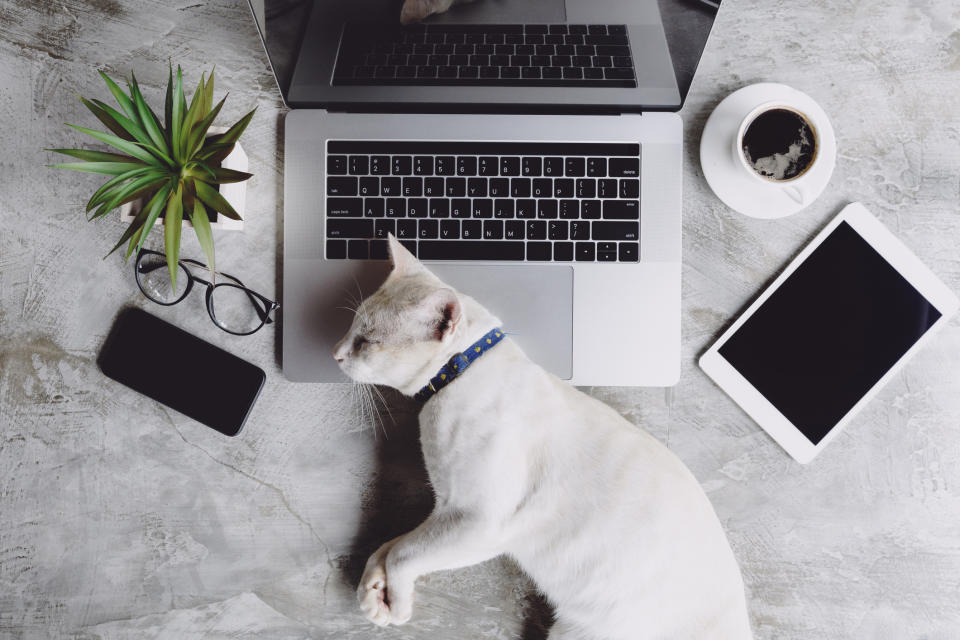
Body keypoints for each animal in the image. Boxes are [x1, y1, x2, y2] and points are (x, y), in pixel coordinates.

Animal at [336, 236, 752, 640]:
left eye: (366, 341)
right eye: (352, 327)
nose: (337, 353)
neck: (458, 375)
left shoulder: (477, 521)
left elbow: (403, 555)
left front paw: (395, 604)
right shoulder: (445, 511)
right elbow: (392, 546)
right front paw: (373, 590)